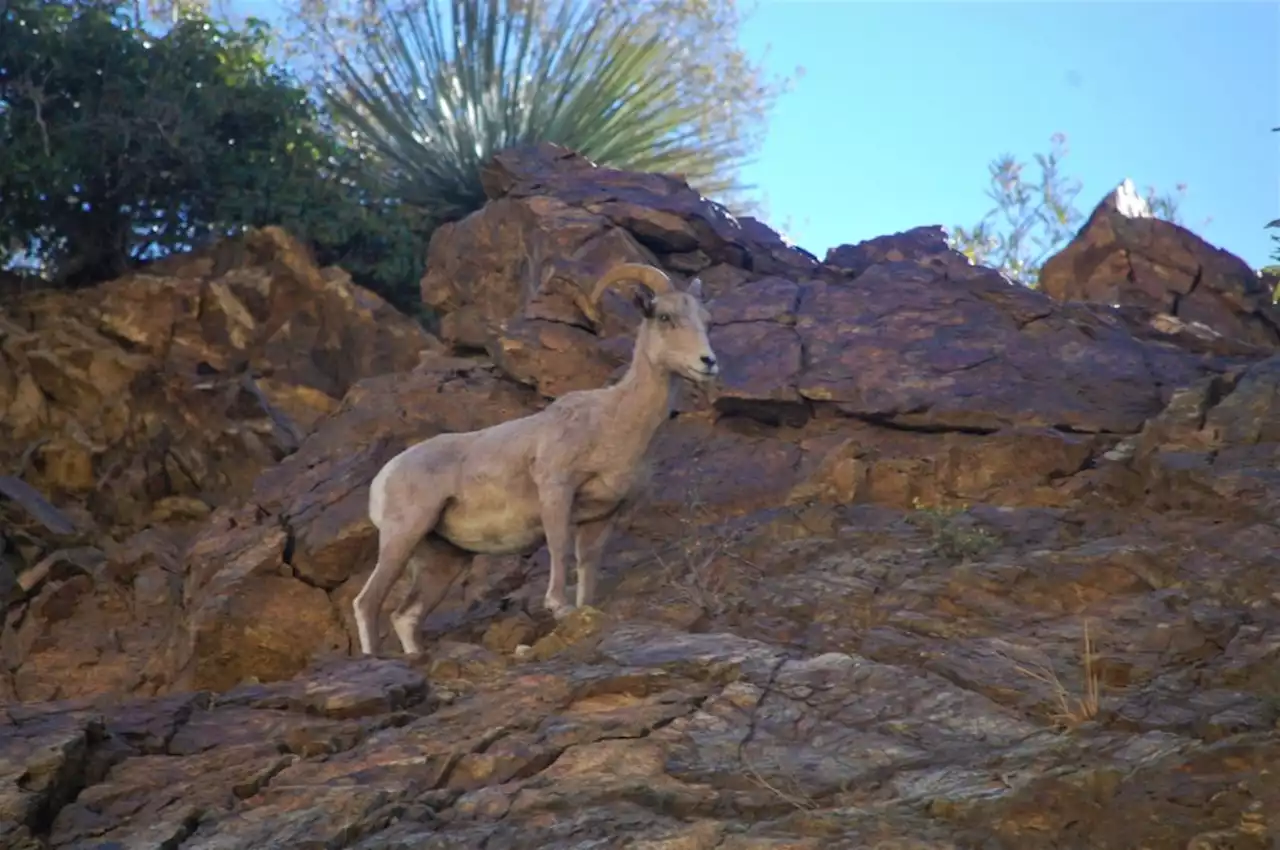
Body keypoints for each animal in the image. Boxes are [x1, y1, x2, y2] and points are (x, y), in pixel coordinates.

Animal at [350, 262, 721, 652]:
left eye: (707, 321)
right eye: (664, 316)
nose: (708, 362)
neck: (615, 422)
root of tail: (385, 477)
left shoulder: (601, 517)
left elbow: (587, 567)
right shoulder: (557, 490)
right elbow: (559, 548)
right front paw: (558, 608)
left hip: (444, 561)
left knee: (404, 616)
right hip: (403, 535)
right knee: (367, 603)